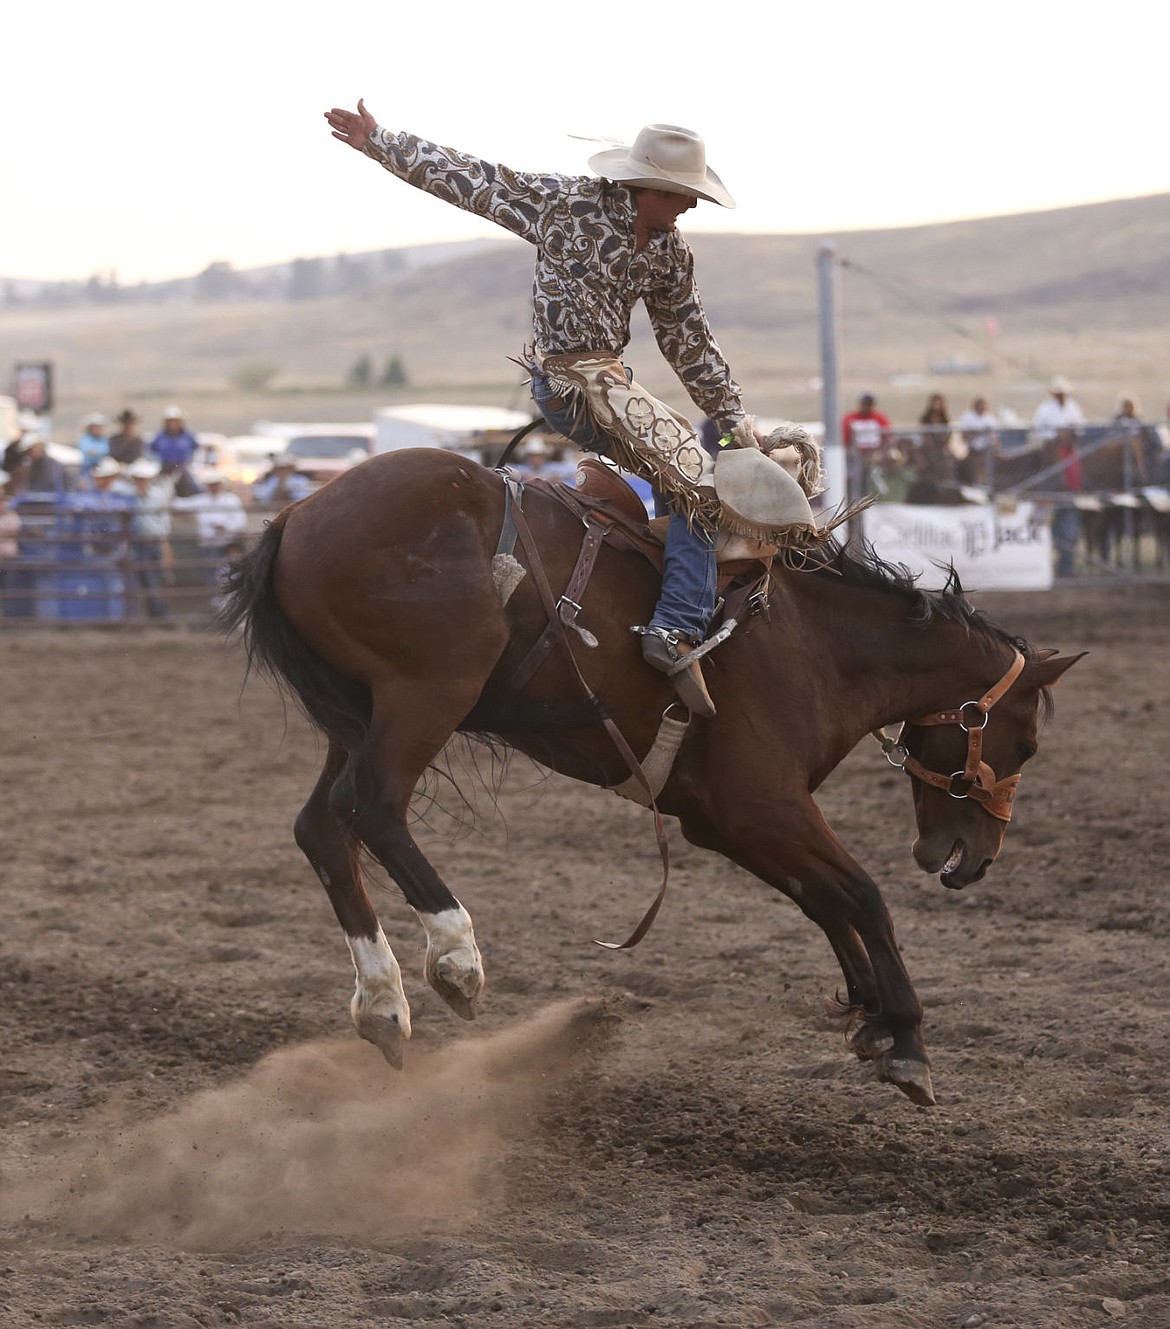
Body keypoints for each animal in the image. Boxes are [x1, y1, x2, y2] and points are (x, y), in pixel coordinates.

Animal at [223, 451, 1084, 1105]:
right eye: (1027, 741)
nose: (972, 859)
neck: (818, 644)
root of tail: (296, 516)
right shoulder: (764, 804)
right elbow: (861, 893)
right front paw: (905, 1037)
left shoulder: (723, 819)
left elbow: (821, 899)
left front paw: (868, 1013)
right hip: (426, 692)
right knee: (371, 809)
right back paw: (456, 958)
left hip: (360, 713)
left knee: (323, 827)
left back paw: (383, 1004)